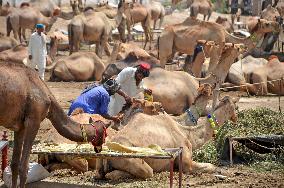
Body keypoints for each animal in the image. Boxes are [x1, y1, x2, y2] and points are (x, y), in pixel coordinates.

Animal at [96, 95, 239, 181]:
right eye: (235, 107)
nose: (236, 118)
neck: (187, 133)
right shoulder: (186, 162)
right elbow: (210, 166)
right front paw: (224, 171)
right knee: (145, 172)